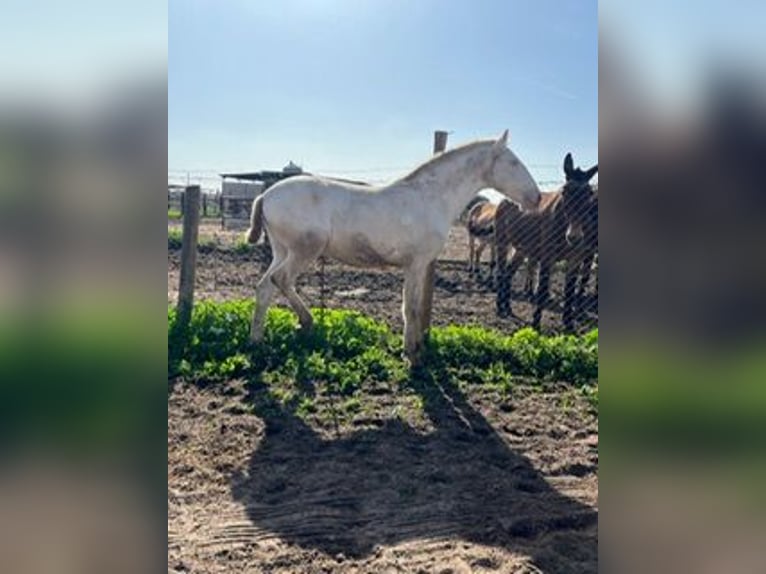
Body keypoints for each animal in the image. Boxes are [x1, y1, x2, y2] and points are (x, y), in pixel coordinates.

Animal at [246, 130, 540, 364]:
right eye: (513, 162)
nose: (536, 198)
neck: (431, 198)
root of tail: (266, 195)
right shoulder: (415, 263)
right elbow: (410, 307)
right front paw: (411, 354)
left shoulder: (419, 266)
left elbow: (415, 306)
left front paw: (417, 348)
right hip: (304, 250)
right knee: (281, 279)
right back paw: (305, 322)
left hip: (281, 250)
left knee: (264, 287)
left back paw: (257, 341)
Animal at [498, 154, 600, 332]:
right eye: (565, 191)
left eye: (589, 193)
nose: (574, 237)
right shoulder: (547, 258)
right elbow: (543, 289)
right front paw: (535, 324)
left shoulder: (575, 261)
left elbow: (569, 291)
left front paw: (569, 325)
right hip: (503, 244)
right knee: (501, 272)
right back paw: (499, 308)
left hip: (521, 250)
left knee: (508, 274)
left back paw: (507, 308)